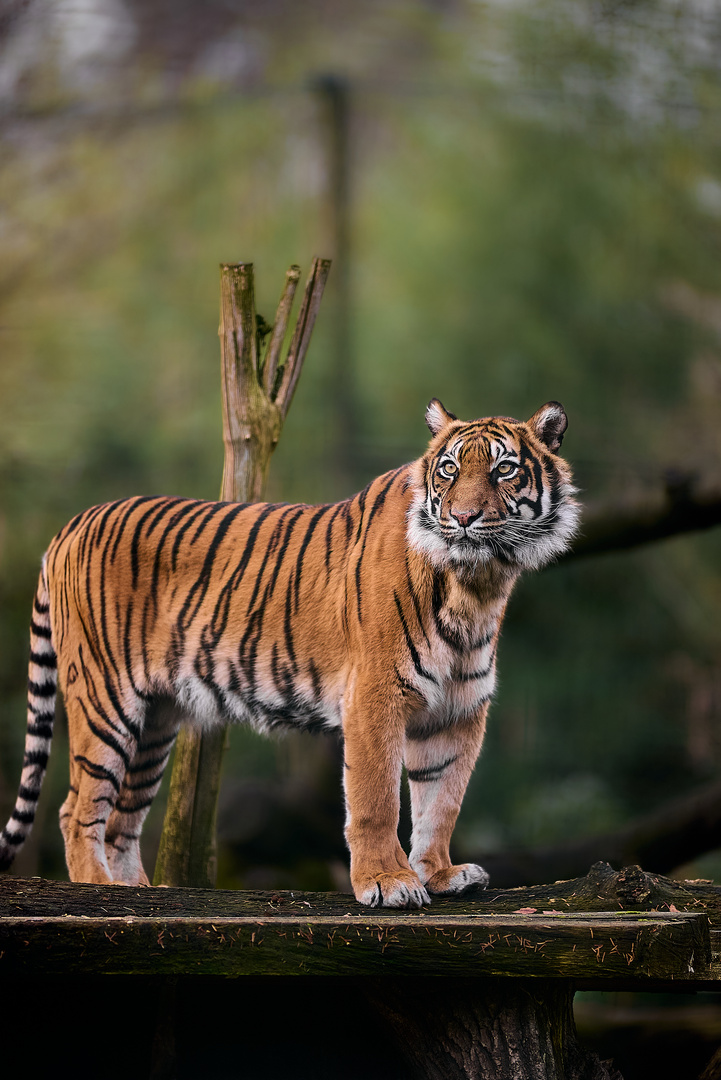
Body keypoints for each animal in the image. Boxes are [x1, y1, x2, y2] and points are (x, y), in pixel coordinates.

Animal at [0, 397, 578, 902]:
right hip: (105, 701)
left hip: (155, 721)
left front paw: (440, 875)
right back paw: (96, 888)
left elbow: (441, 804)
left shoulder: (459, 711)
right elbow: (377, 799)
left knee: (121, 820)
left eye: (504, 470)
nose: (462, 518)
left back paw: (134, 892)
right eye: (449, 471)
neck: (475, 586)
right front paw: (387, 883)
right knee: (77, 810)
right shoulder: (375, 697)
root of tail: (70, 527)